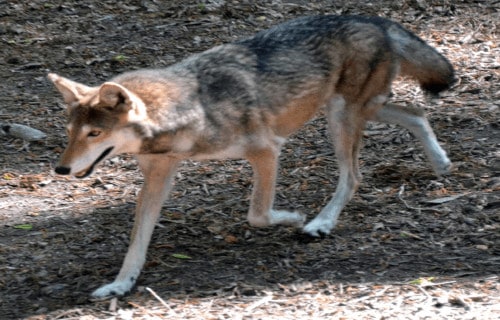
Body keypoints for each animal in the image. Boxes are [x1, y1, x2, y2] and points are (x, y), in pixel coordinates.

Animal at [48, 15, 456, 298]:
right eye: (70, 133)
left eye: (94, 134)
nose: (61, 169)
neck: (192, 111)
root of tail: (373, 19)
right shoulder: (157, 177)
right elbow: (137, 242)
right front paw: (120, 285)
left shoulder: (267, 151)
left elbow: (258, 214)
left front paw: (295, 217)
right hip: (354, 112)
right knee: (417, 113)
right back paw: (440, 163)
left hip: (343, 118)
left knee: (354, 175)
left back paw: (320, 223)